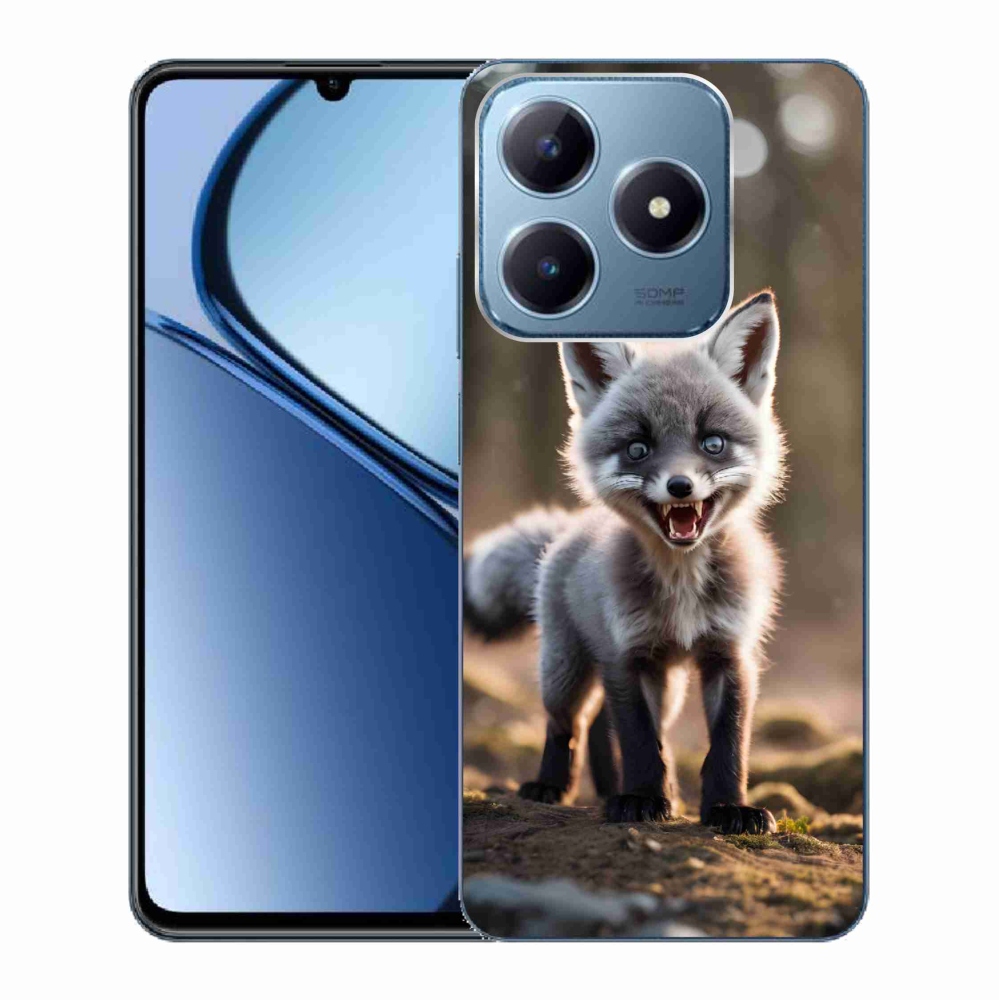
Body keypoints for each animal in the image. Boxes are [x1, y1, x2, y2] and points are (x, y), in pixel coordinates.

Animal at [464, 291, 787, 834]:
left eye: (713, 443)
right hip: (566, 670)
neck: (681, 586)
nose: (680, 486)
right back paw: (552, 785)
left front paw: (728, 808)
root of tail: (567, 531)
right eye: (638, 448)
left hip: (666, 683)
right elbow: (639, 741)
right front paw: (641, 799)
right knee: (568, 723)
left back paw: (613, 786)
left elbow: (727, 746)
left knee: (601, 725)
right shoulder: (626, 655)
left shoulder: (730, 653)